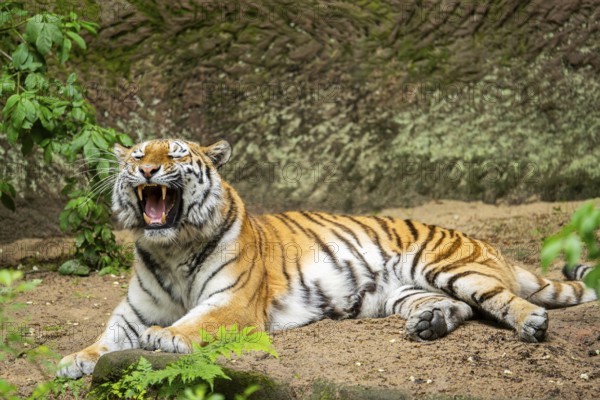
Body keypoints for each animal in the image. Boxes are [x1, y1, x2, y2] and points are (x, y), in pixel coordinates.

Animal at [56, 138, 596, 378]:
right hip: (399, 292)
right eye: (136, 156)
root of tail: (486, 243)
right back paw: (429, 325)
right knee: (459, 306)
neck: (172, 248)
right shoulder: (132, 310)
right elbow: (106, 337)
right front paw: (74, 359)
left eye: (174, 154)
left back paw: (531, 323)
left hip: (448, 265)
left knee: (502, 298)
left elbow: (193, 323)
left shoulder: (233, 304)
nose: (146, 169)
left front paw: (165, 337)